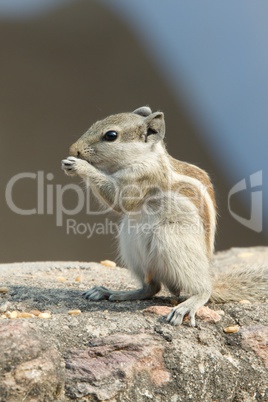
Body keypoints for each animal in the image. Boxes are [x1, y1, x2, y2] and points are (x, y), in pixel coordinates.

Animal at [61, 107, 268, 326]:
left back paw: (188, 305)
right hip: (131, 246)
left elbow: (120, 200)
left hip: (171, 241)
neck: (145, 157)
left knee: (202, 289)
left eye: (111, 135)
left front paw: (79, 166)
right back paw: (112, 292)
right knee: (151, 288)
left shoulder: (142, 177)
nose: (73, 149)